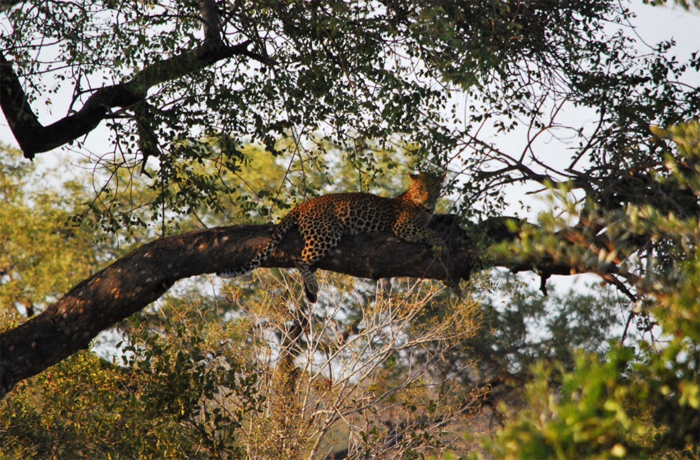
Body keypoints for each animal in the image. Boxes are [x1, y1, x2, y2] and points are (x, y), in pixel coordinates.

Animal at [218, 172, 446, 303]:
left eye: (434, 189)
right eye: (421, 189)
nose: (428, 200)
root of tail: (304, 204)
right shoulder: (402, 226)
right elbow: (430, 231)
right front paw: (441, 244)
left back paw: (310, 293)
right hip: (326, 234)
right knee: (299, 260)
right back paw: (313, 287)